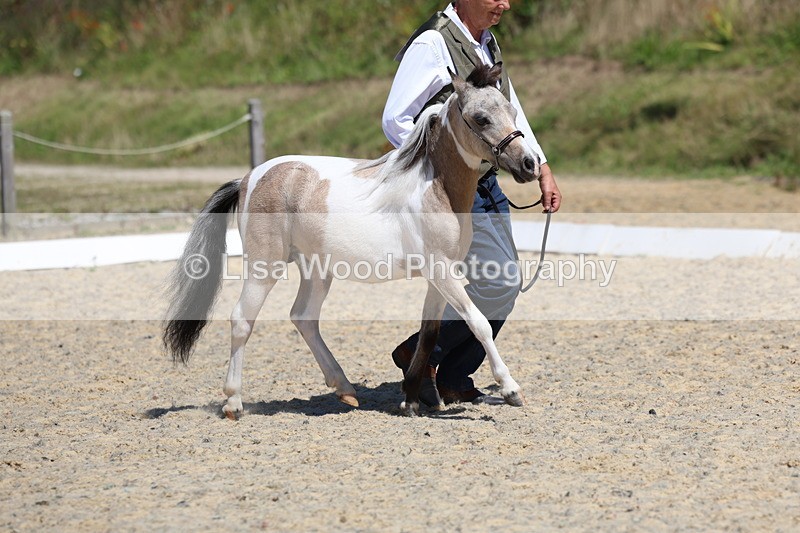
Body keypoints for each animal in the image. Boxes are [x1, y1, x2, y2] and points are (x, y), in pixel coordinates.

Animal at [162, 63, 541, 417]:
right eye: (481, 118)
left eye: (511, 111)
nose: (530, 164)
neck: (435, 188)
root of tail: (247, 179)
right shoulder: (441, 271)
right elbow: (479, 323)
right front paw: (511, 389)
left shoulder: (438, 278)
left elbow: (429, 334)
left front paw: (410, 400)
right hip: (263, 267)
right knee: (242, 319)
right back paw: (234, 403)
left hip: (316, 270)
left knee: (304, 317)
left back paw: (344, 389)